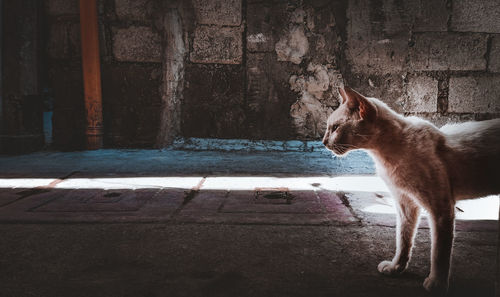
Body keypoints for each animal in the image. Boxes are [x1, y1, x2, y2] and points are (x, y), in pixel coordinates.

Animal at [322, 86, 498, 294]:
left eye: (335, 128)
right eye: (329, 127)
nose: (323, 142)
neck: (385, 156)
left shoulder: (441, 210)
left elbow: (439, 251)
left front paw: (437, 283)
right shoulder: (405, 205)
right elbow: (403, 239)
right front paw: (396, 268)